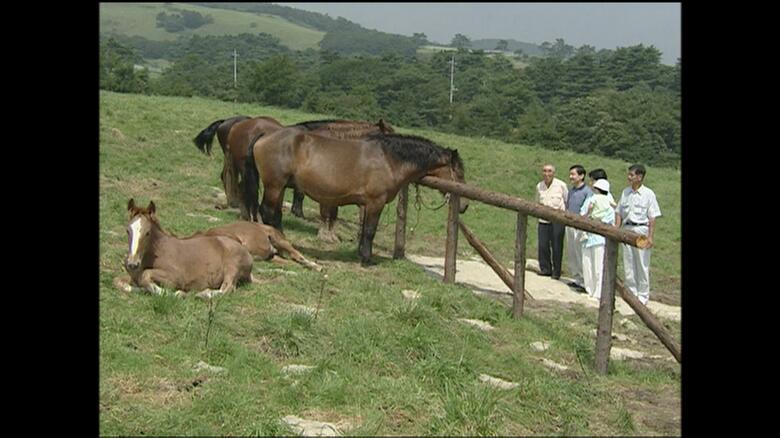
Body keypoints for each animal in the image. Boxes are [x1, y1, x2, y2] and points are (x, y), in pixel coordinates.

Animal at [120, 199, 254, 299]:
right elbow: (121, 282)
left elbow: (146, 275)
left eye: (147, 233)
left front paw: (177, 293)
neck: (156, 252)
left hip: (232, 268)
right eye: (127, 231)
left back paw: (203, 294)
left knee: (227, 288)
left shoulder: (177, 276)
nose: (132, 264)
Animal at [243, 132, 468, 266]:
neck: (388, 159)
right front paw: (367, 259)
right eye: (458, 172)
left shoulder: (367, 204)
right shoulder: (376, 202)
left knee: (275, 214)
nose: (464, 206)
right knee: (268, 212)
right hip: (274, 186)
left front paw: (361, 253)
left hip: (279, 187)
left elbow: (363, 230)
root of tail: (264, 136)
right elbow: (370, 231)